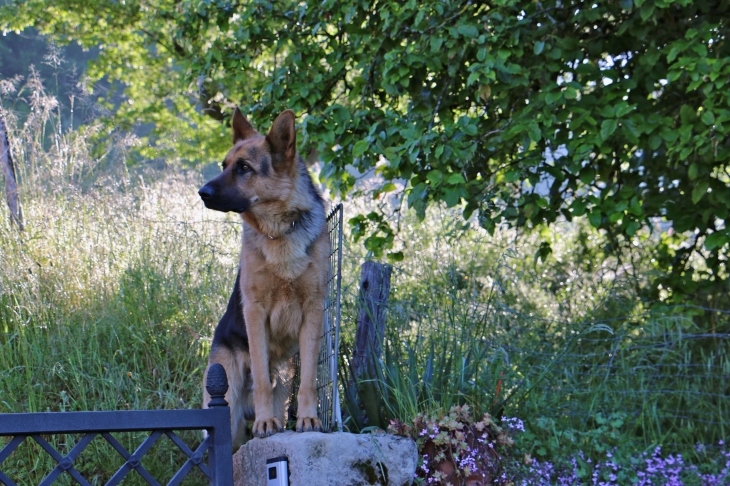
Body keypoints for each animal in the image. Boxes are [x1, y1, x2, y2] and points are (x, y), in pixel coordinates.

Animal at [196, 107, 328, 448]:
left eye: (244, 168)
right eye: (224, 165)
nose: (201, 193)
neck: (279, 231)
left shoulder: (313, 312)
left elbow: (309, 379)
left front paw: (308, 419)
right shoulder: (255, 312)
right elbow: (261, 376)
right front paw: (265, 422)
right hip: (225, 413)